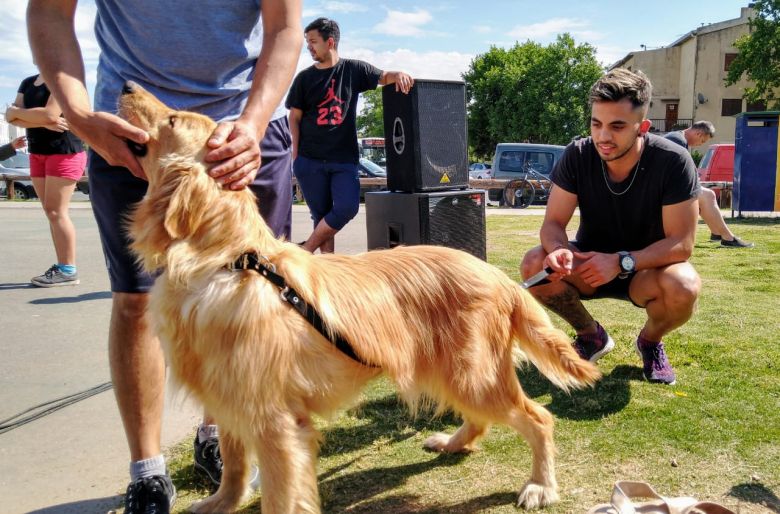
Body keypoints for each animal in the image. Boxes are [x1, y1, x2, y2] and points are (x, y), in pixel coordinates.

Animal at [119, 82, 600, 510]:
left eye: (172, 120)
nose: (124, 86)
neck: (232, 261)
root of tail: (496, 276)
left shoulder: (277, 422)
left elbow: (281, 497)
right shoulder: (230, 399)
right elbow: (235, 468)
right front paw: (220, 502)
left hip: (472, 373)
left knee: (539, 418)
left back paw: (540, 485)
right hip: (448, 369)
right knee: (481, 418)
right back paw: (452, 442)